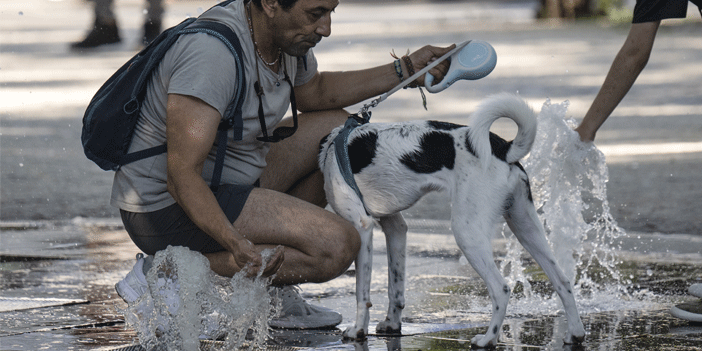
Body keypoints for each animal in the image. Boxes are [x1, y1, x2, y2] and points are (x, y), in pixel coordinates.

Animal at [320, 92, 588, 348]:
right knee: (563, 280)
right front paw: (392, 324)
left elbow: (362, 293)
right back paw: (575, 334)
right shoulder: (395, 227)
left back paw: (488, 339)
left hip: (467, 232)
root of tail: (504, 148)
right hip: (525, 226)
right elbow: (395, 285)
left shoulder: (362, 227)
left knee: (501, 289)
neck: (333, 148)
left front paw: (358, 330)